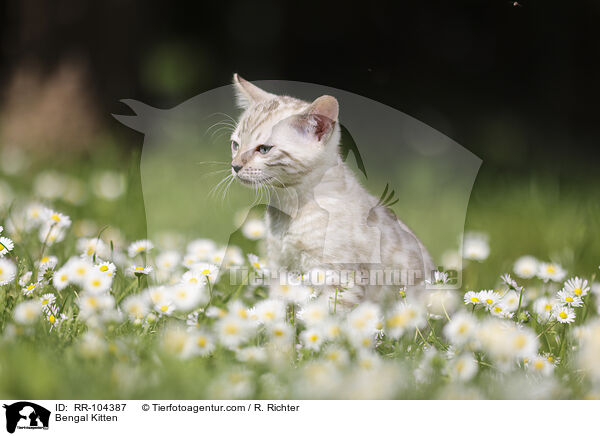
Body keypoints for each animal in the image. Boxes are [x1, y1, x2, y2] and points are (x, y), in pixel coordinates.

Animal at [232, 74, 434, 306]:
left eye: (264, 149)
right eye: (235, 145)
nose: (235, 166)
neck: (290, 209)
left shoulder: (341, 279)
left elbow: (326, 314)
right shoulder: (280, 269)